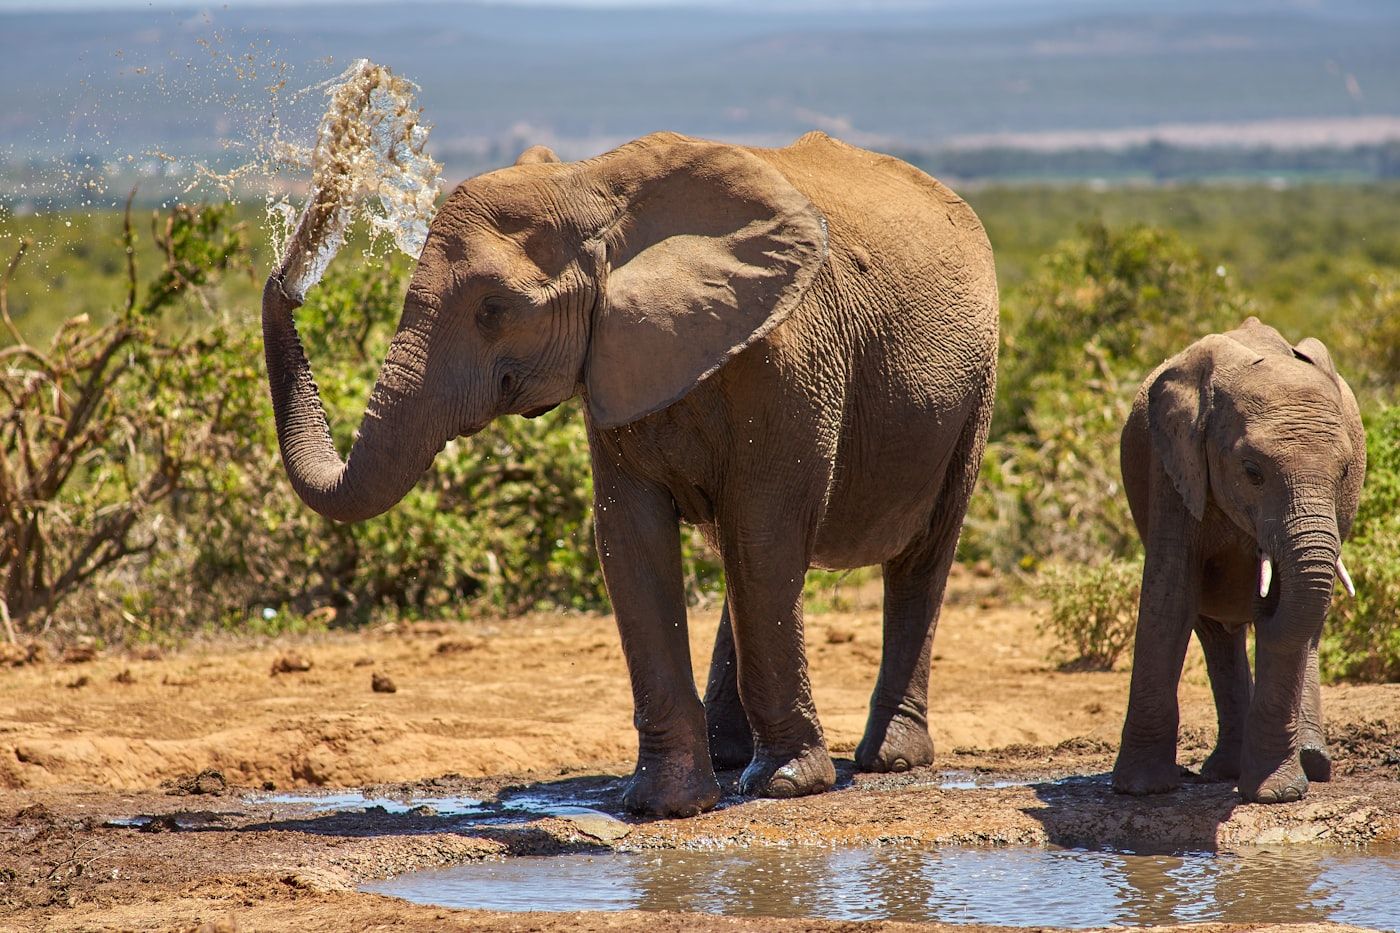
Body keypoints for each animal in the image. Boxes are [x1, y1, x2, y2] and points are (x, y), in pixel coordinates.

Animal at [261, 130, 999, 817]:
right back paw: (732, 757)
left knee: (915, 554)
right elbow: (630, 538)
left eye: (493, 309)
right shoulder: (612, 355)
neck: (593, 186)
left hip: (974, 390)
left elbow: (765, 532)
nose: (288, 278)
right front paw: (665, 805)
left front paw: (789, 786)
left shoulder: (790, 357)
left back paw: (887, 761)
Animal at [1113, 317, 1365, 804]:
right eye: (1252, 472)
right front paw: (1140, 790)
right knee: (1215, 633)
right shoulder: (1173, 464)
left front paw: (1275, 795)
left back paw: (1310, 763)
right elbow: (1170, 596)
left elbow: (1290, 613)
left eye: (1344, 473)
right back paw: (1226, 770)